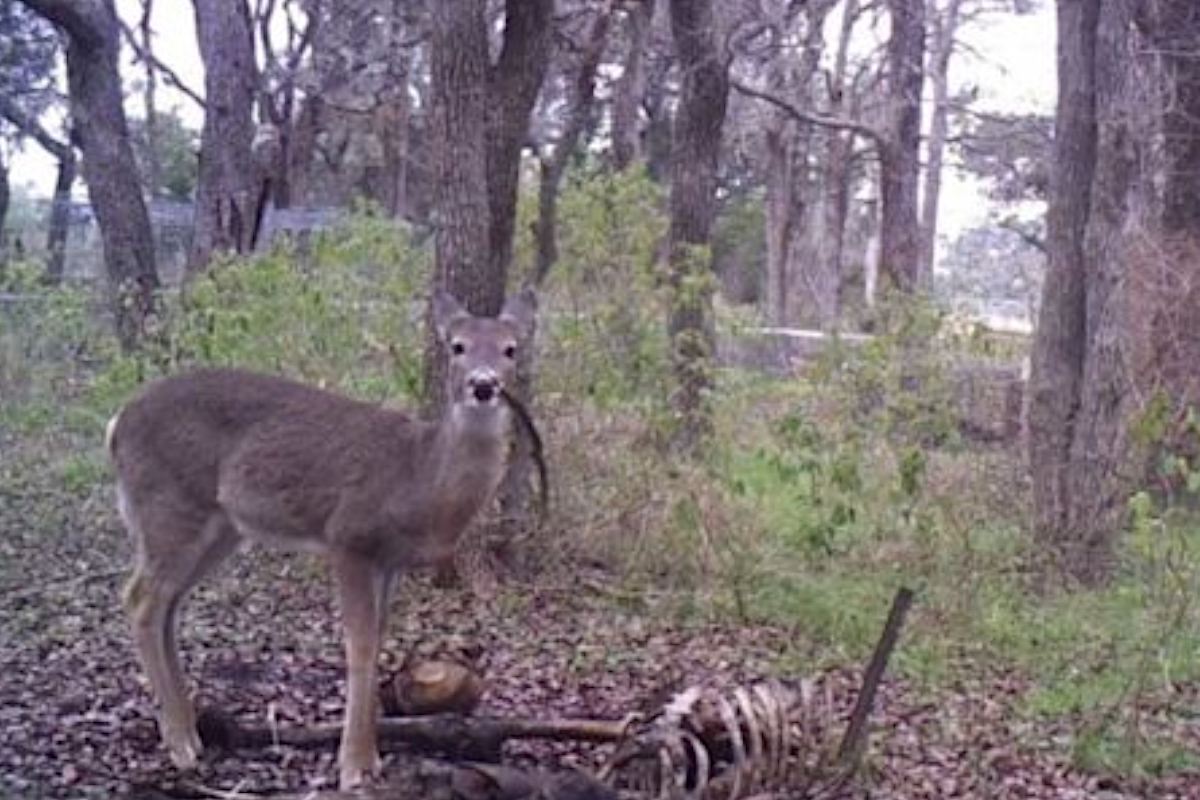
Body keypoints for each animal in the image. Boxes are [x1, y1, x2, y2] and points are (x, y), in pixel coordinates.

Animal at [108, 287, 540, 786]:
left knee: (168, 605)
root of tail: (116, 424)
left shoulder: (389, 561)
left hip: (219, 527)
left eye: (511, 349)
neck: (418, 478)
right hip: (169, 505)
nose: (483, 385)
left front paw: (372, 756)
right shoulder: (348, 537)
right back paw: (179, 743)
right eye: (458, 346)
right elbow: (360, 645)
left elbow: (380, 638)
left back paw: (192, 733)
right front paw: (353, 766)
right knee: (140, 599)